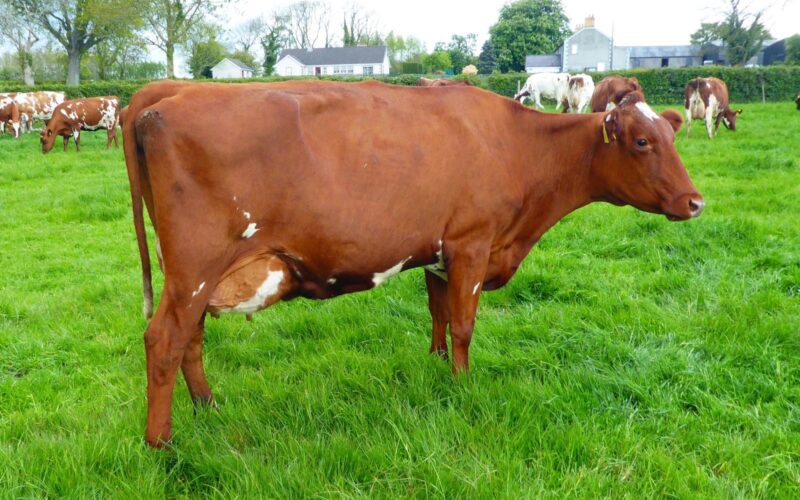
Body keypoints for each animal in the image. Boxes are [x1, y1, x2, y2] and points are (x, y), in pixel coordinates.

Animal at [123, 81, 703, 446]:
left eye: (673, 137)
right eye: (643, 141)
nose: (695, 202)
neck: (515, 145)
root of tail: (158, 99)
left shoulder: (439, 252)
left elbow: (438, 312)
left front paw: (437, 366)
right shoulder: (472, 243)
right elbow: (465, 324)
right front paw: (464, 385)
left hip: (192, 275)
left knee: (190, 337)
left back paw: (206, 406)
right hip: (195, 268)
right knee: (164, 340)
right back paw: (161, 443)